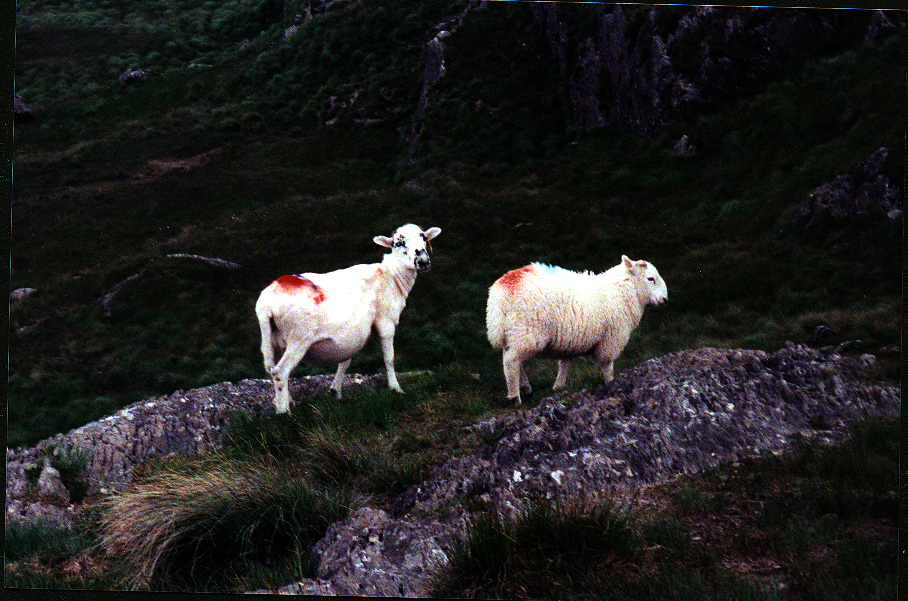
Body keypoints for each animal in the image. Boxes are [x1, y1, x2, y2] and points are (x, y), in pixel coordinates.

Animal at [255, 224, 442, 413]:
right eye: (399, 243)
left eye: (424, 237)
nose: (423, 261)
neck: (391, 276)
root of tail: (266, 304)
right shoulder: (386, 322)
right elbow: (389, 358)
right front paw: (396, 389)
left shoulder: (352, 332)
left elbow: (345, 361)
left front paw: (335, 391)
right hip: (299, 338)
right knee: (280, 372)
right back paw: (284, 412)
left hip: (273, 340)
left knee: (272, 369)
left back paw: (286, 401)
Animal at [486, 255, 667, 405]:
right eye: (650, 279)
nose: (665, 299)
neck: (622, 291)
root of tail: (500, 292)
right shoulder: (610, 339)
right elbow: (607, 365)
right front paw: (611, 383)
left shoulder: (571, 342)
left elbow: (565, 365)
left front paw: (558, 387)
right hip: (527, 331)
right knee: (511, 361)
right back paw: (515, 397)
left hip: (512, 332)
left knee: (511, 357)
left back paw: (525, 387)